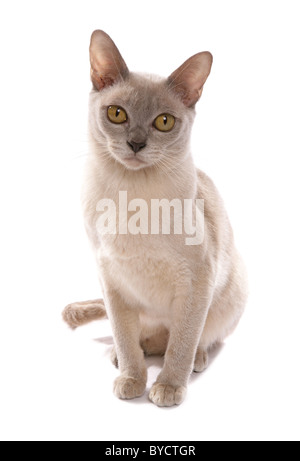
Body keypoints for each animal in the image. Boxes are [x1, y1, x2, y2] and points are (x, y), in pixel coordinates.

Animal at [62, 29, 247, 406]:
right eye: (117, 114)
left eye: (164, 122)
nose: (136, 144)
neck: (131, 201)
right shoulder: (111, 281)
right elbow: (124, 337)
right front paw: (132, 378)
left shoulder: (196, 281)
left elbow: (182, 341)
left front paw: (169, 386)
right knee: (139, 341)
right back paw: (121, 360)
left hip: (233, 291)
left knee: (195, 338)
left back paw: (195, 361)